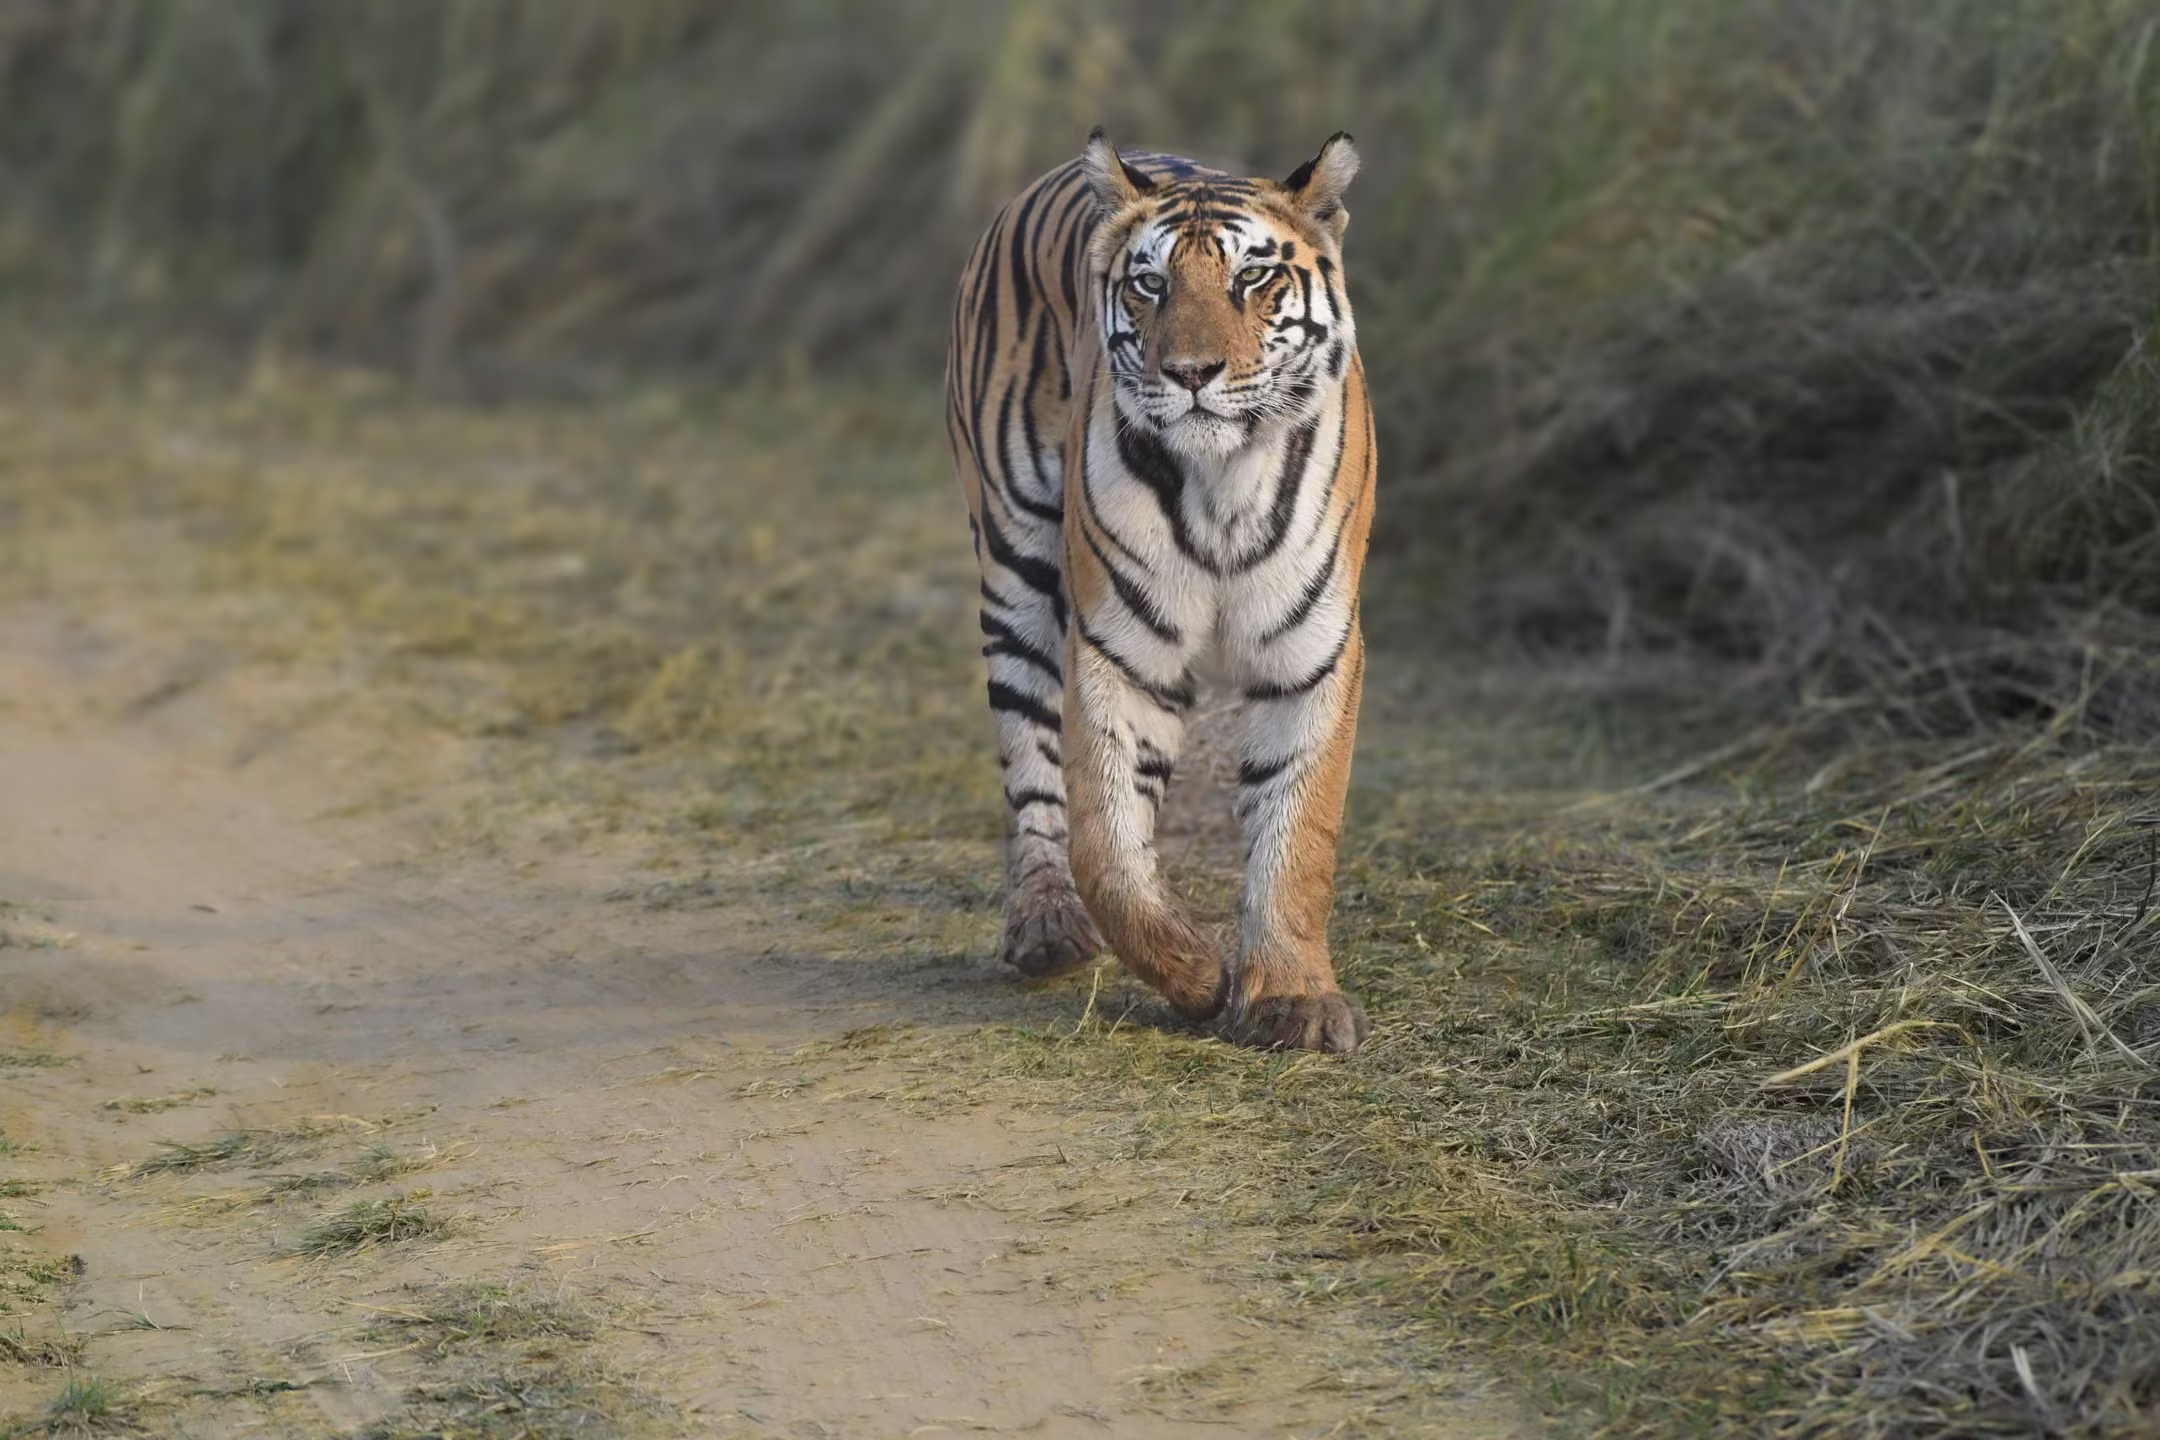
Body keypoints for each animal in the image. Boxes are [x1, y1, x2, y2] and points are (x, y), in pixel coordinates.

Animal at [945, 129, 1375, 1054]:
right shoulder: (1121, 649)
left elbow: (1297, 830)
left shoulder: (1312, 653)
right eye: (1151, 284)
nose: (1190, 372)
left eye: (1252, 278)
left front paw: (1295, 998)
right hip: (1014, 566)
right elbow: (1107, 850)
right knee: (1031, 764)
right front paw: (1196, 974)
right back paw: (1046, 925)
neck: (1222, 484)